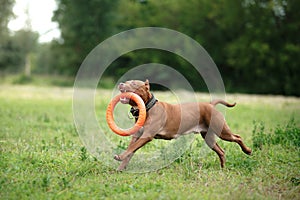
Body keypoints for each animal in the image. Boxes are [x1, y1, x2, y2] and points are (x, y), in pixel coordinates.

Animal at [113, 79, 252, 170]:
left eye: (133, 83)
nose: (121, 84)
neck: (147, 108)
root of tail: (210, 105)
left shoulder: (146, 136)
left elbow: (131, 148)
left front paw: (120, 157)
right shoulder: (137, 136)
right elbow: (131, 150)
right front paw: (120, 168)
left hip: (222, 131)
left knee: (237, 137)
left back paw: (248, 151)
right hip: (208, 137)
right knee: (221, 151)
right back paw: (222, 168)